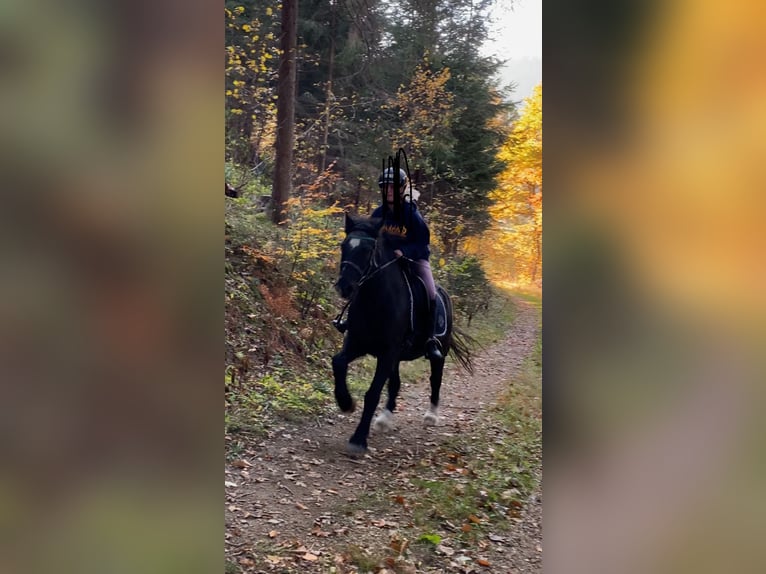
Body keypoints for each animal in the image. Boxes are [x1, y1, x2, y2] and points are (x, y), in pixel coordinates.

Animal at [332, 212, 472, 454]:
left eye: (368, 250)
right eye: (344, 245)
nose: (345, 287)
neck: (375, 301)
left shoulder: (387, 352)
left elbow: (373, 393)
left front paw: (358, 440)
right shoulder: (358, 344)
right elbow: (338, 362)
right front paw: (346, 403)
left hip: (438, 352)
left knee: (436, 379)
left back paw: (431, 416)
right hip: (396, 357)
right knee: (395, 383)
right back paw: (384, 419)